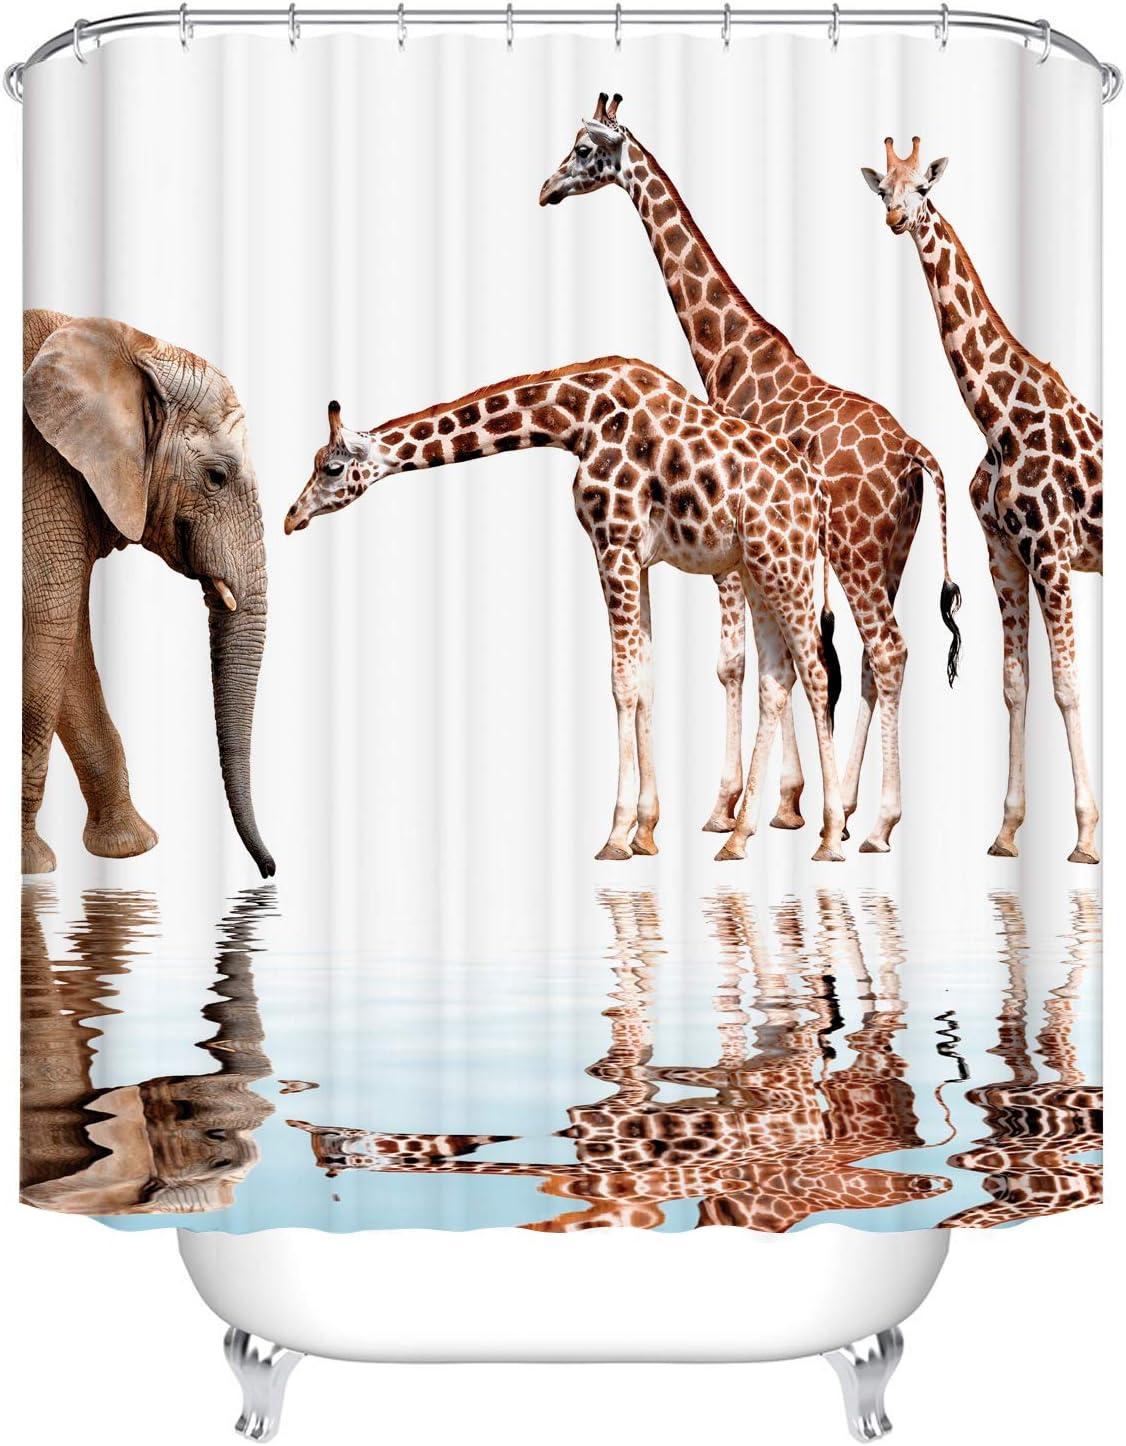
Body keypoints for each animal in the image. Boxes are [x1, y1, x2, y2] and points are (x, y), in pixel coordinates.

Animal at [22, 309, 275, 878]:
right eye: (216, 477)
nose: (270, 871)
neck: (132, 349)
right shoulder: (40, 472)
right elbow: (47, 631)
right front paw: (31, 865)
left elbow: (68, 648)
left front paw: (130, 849)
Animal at [285, 357, 846, 862]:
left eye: (331, 467)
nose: (291, 517)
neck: (577, 421)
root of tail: (817, 492)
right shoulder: (636, 557)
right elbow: (645, 680)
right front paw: (646, 832)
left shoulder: (612, 544)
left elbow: (621, 682)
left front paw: (616, 836)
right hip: (755, 567)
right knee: (777, 678)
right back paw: (738, 838)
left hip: (784, 563)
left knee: (816, 672)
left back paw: (830, 838)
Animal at [540, 93, 963, 854]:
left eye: (585, 151)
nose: (546, 188)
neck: (731, 356)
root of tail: (917, 450)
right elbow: (782, 664)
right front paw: (789, 806)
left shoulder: (733, 549)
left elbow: (740, 663)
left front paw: (734, 807)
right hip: (891, 552)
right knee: (870, 659)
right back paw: (855, 811)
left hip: (855, 551)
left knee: (887, 651)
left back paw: (873, 819)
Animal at [863, 137, 1103, 863]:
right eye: (883, 187)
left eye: (923, 189)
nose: (895, 220)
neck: (996, 419)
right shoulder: (1004, 552)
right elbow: (1014, 683)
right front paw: (1005, 831)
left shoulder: (1052, 552)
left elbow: (1067, 683)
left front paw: (1086, 837)